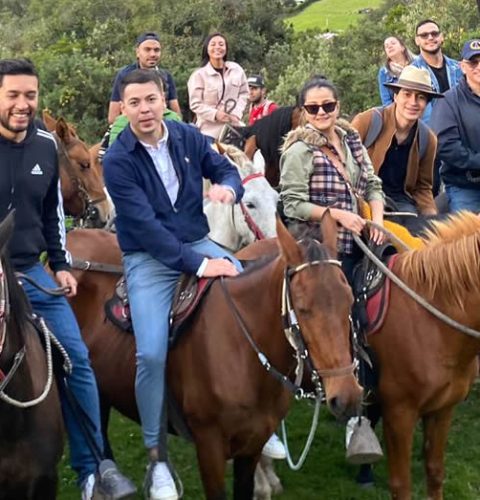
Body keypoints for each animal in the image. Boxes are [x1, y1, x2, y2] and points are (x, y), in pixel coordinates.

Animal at [65, 216, 362, 500]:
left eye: (349, 298)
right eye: (302, 307)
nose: (348, 396)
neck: (242, 352)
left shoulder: (253, 445)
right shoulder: (210, 447)